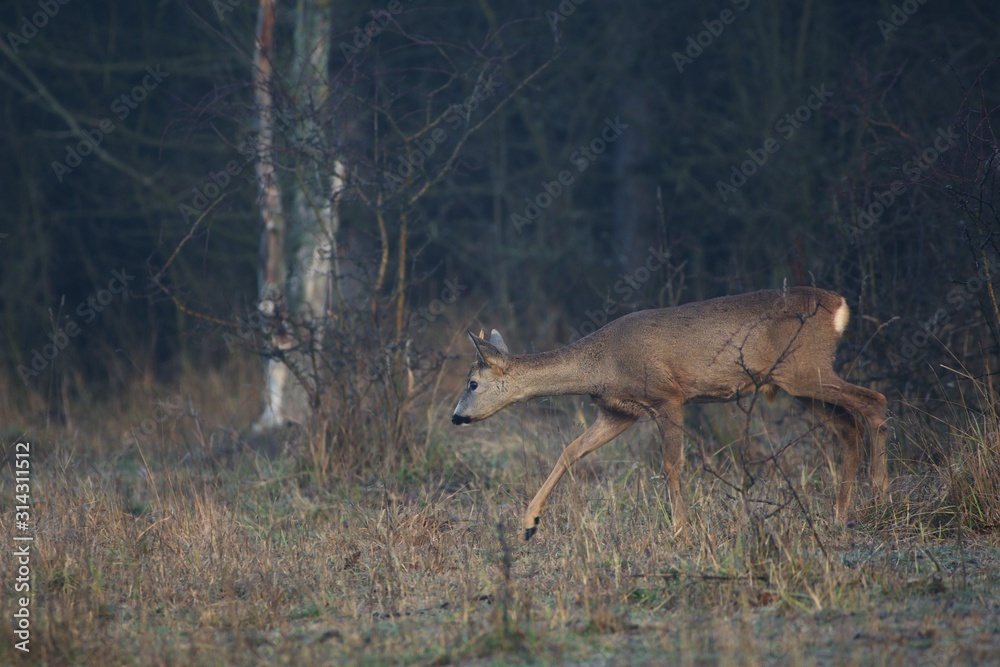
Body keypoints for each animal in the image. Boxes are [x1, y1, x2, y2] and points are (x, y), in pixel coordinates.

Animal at [451, 286, 888, 541]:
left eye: (471, 383)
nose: (456, 418)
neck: (602, 364)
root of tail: (839, 305)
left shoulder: (668, 396)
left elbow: (672, 464)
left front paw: (680, 530)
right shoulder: (619, 412)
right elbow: (571, 451)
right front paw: (529, 523)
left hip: (806, 370)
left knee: (874, 400)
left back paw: (880, 497)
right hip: (796, 383)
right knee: (849, 425)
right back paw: (840, 515)